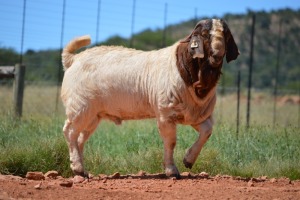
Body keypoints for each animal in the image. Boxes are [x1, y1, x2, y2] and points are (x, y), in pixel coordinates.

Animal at [61, 18, 239, 178]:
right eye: (204, 34)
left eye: (226, 34)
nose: (217, 54)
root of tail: (73, 59)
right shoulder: (166, 114)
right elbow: (171, 142)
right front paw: (172, 171)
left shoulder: (195, 114)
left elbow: (207, 131)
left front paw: (188, 160)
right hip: (79, 107)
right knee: (70, 132)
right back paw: (77, 168)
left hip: (93, 115)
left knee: (80, 138)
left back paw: (82, 171)